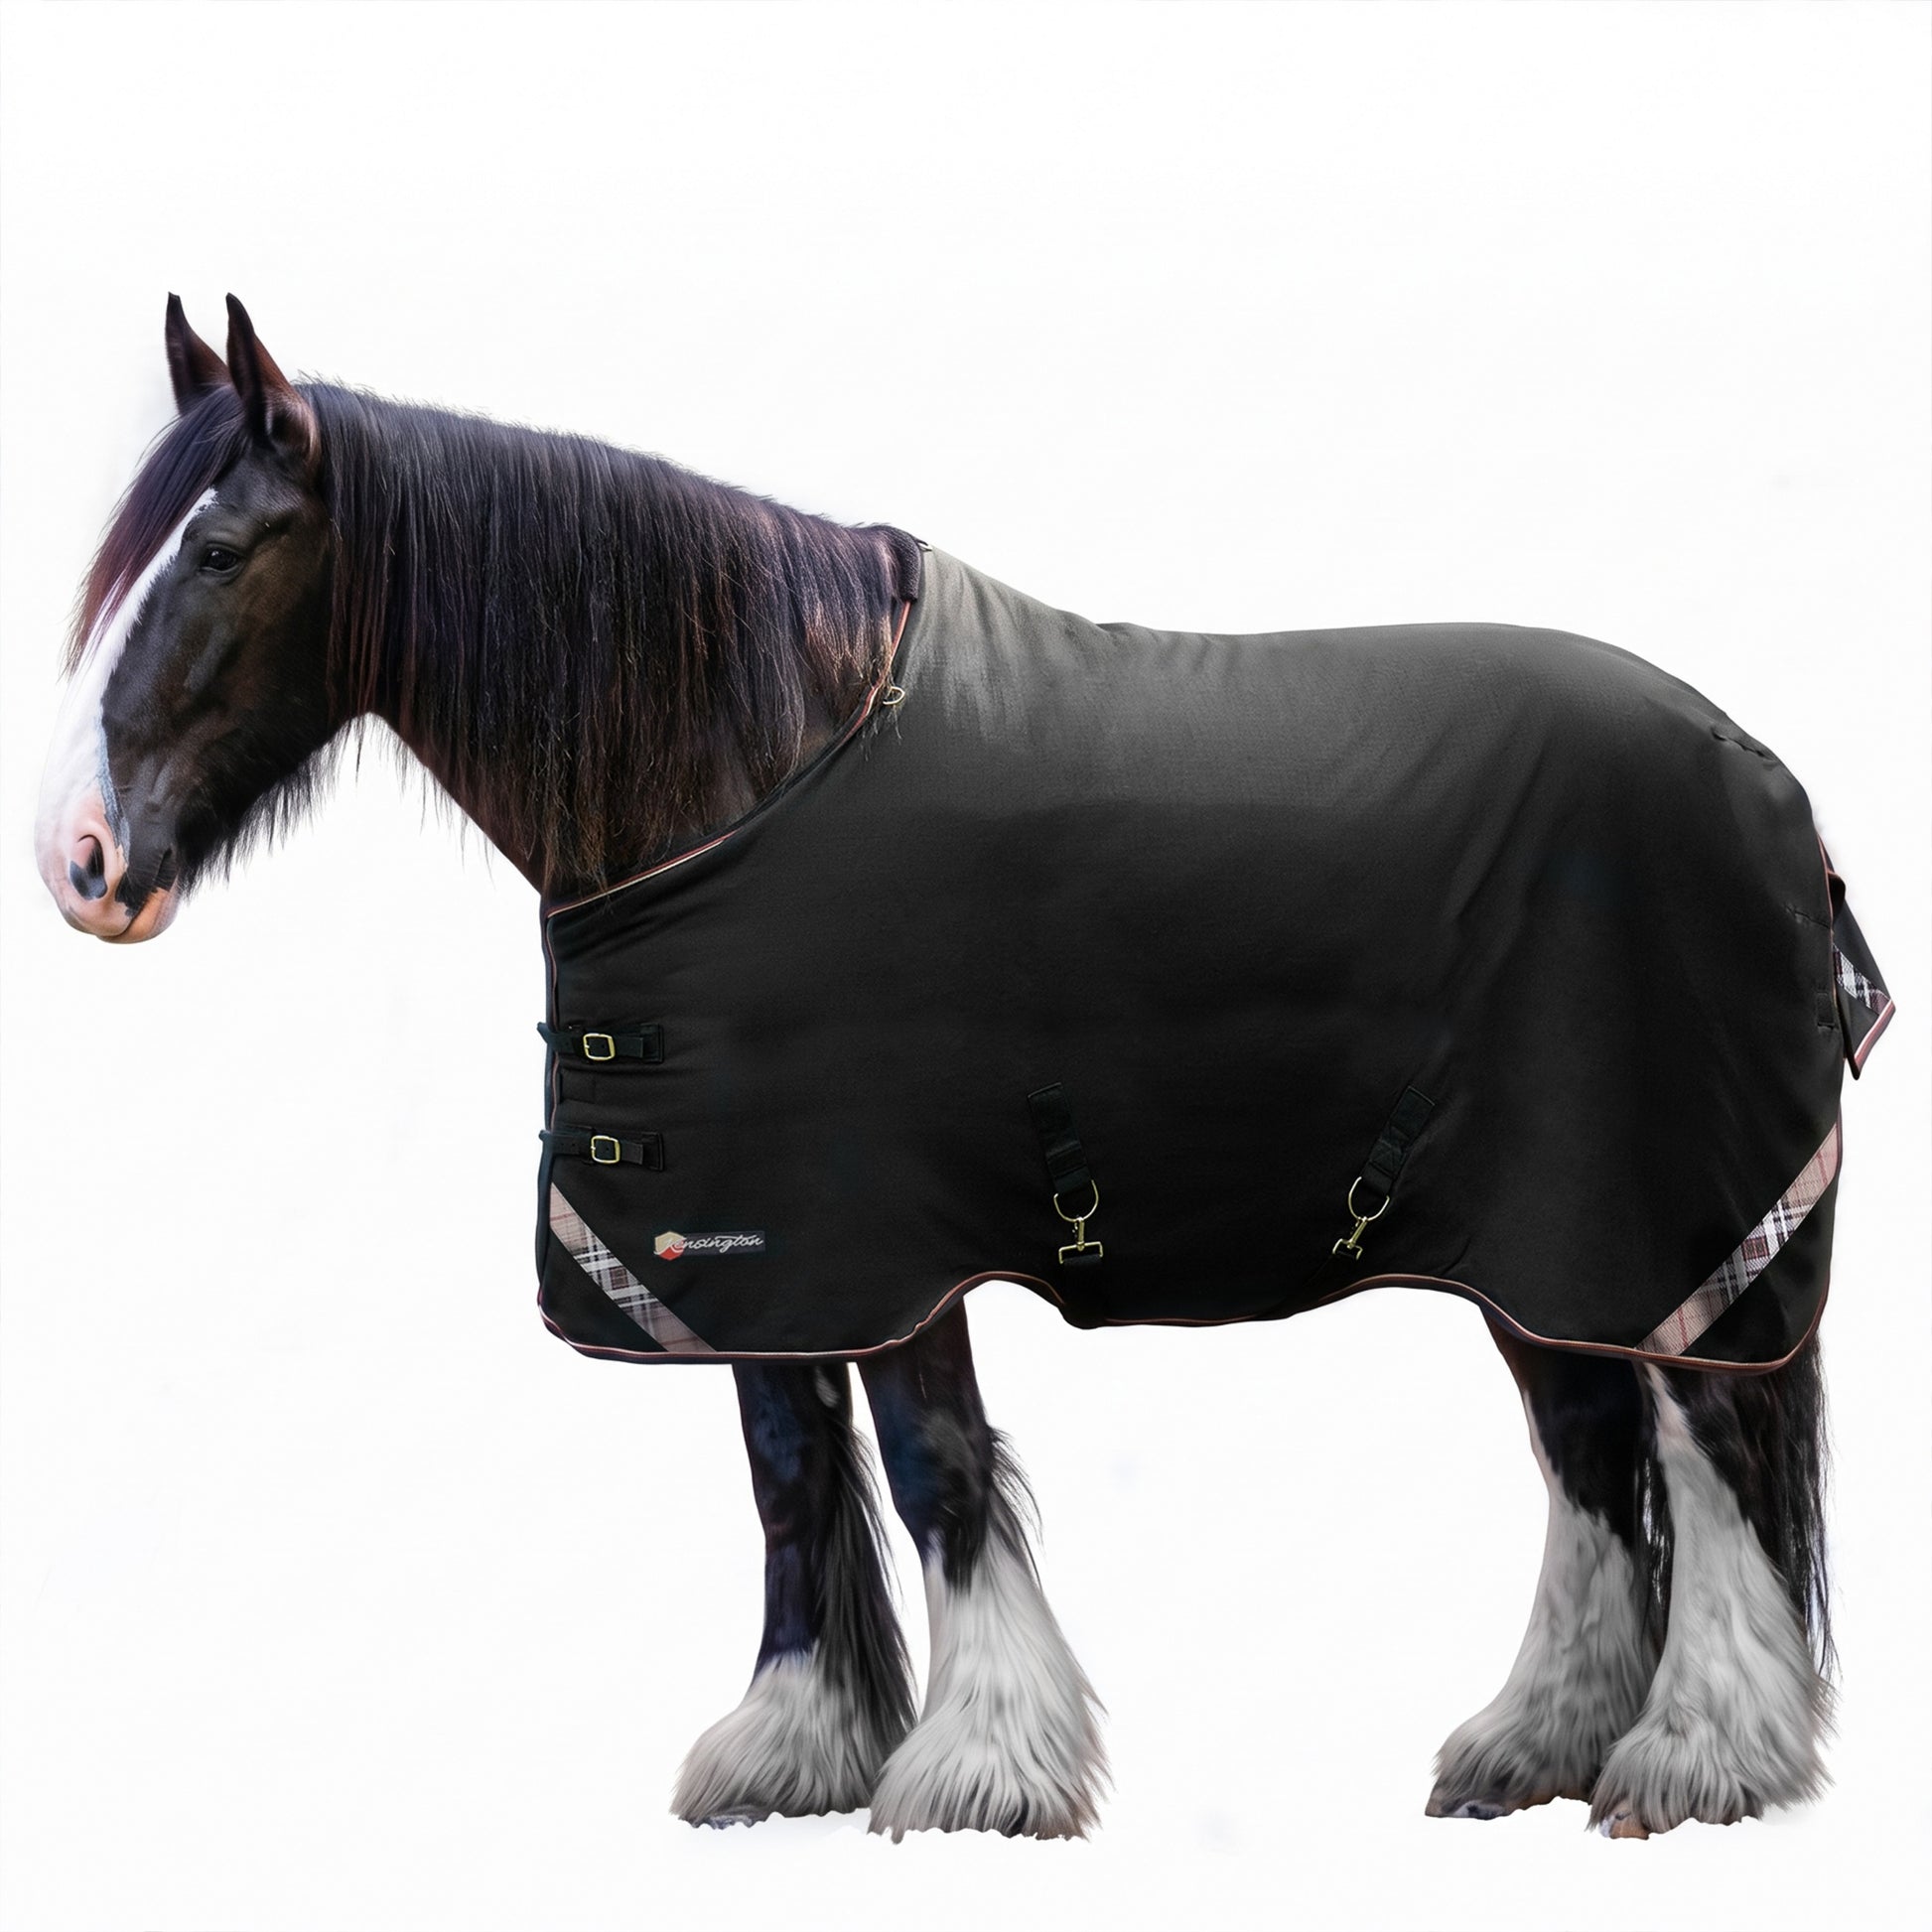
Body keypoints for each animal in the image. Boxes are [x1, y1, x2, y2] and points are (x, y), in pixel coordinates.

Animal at [35, 296, 1890, 1841]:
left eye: (218, 552)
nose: (80, 863)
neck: (751, 755)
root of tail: (1765, 779)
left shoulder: (889, 1236)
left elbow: (932, 1461)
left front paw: (981, 1767)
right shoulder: (756, 1244)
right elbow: (789, 1468)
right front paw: (789, 1749)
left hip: (1638, 1226)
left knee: (1704, 1449)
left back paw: (1693, 1756)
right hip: (1527, 1249)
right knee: (1592, 1450)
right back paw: (1535, 1743)